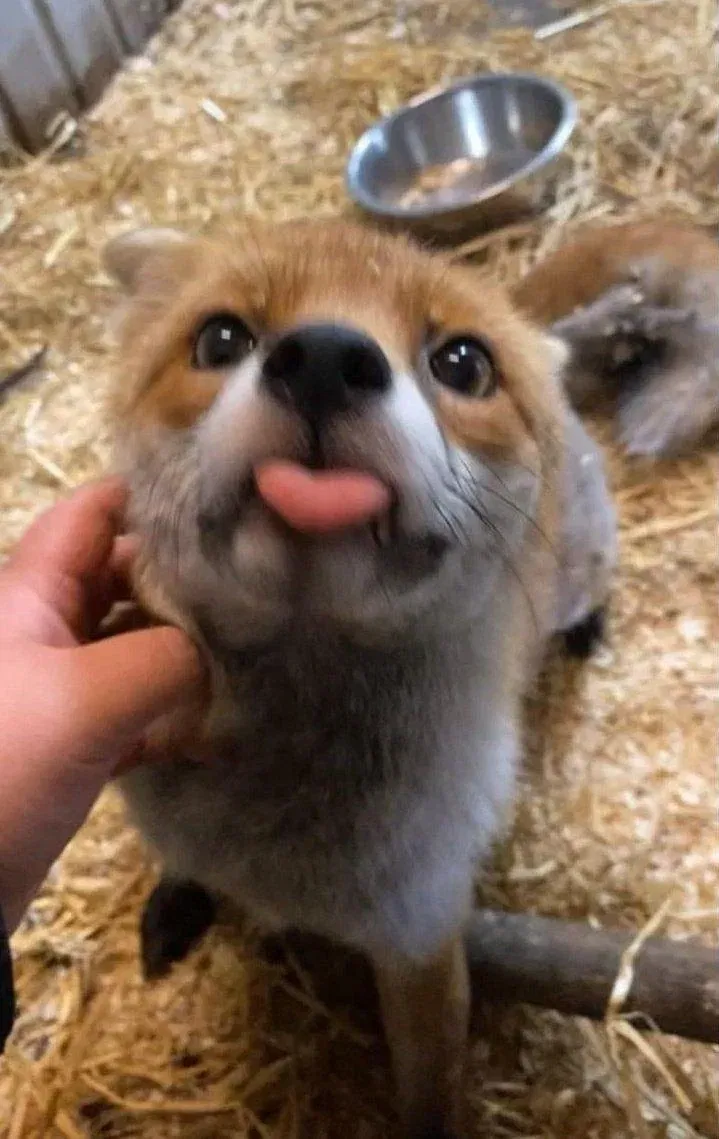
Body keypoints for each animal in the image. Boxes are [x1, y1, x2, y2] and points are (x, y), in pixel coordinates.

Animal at [102, 215, 711, 1137]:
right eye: (221, 338)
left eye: (462, 363)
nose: (324, 356)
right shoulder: (181, 821)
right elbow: (184, 862)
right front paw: (179, 900)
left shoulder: (423, 940)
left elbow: (428, 1095)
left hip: (583, 569)